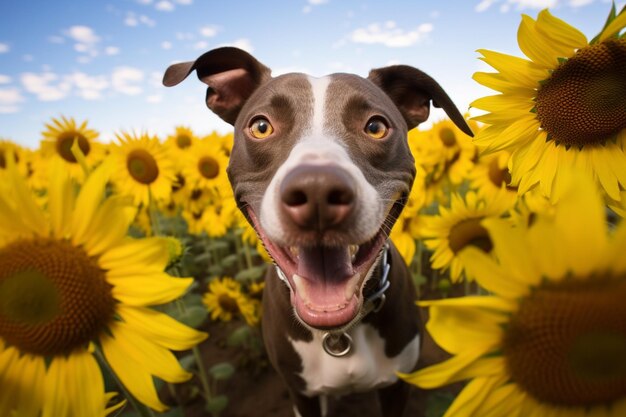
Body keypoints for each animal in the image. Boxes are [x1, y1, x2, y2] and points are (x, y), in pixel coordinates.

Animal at [163, 47, 470, 414]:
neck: (339, 334)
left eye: (376, 126)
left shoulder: (398, 386)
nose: (318, 191)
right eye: (261, 126)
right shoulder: (302, 394)